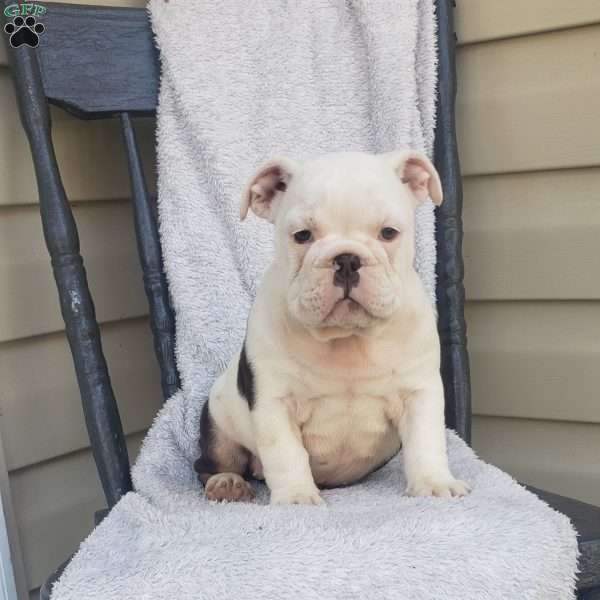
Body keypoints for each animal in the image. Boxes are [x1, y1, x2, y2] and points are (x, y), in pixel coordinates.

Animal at [195, 148, 472, 504]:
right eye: (302, 236)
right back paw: (226, 482)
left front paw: (433, 483)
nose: (347, 259)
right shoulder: (275, 402)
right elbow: (285, 452)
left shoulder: (419, 392)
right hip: (217, 424)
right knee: (211, 463)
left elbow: (426, 441)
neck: (348, 338)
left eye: (388, 233)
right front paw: (296, 496)